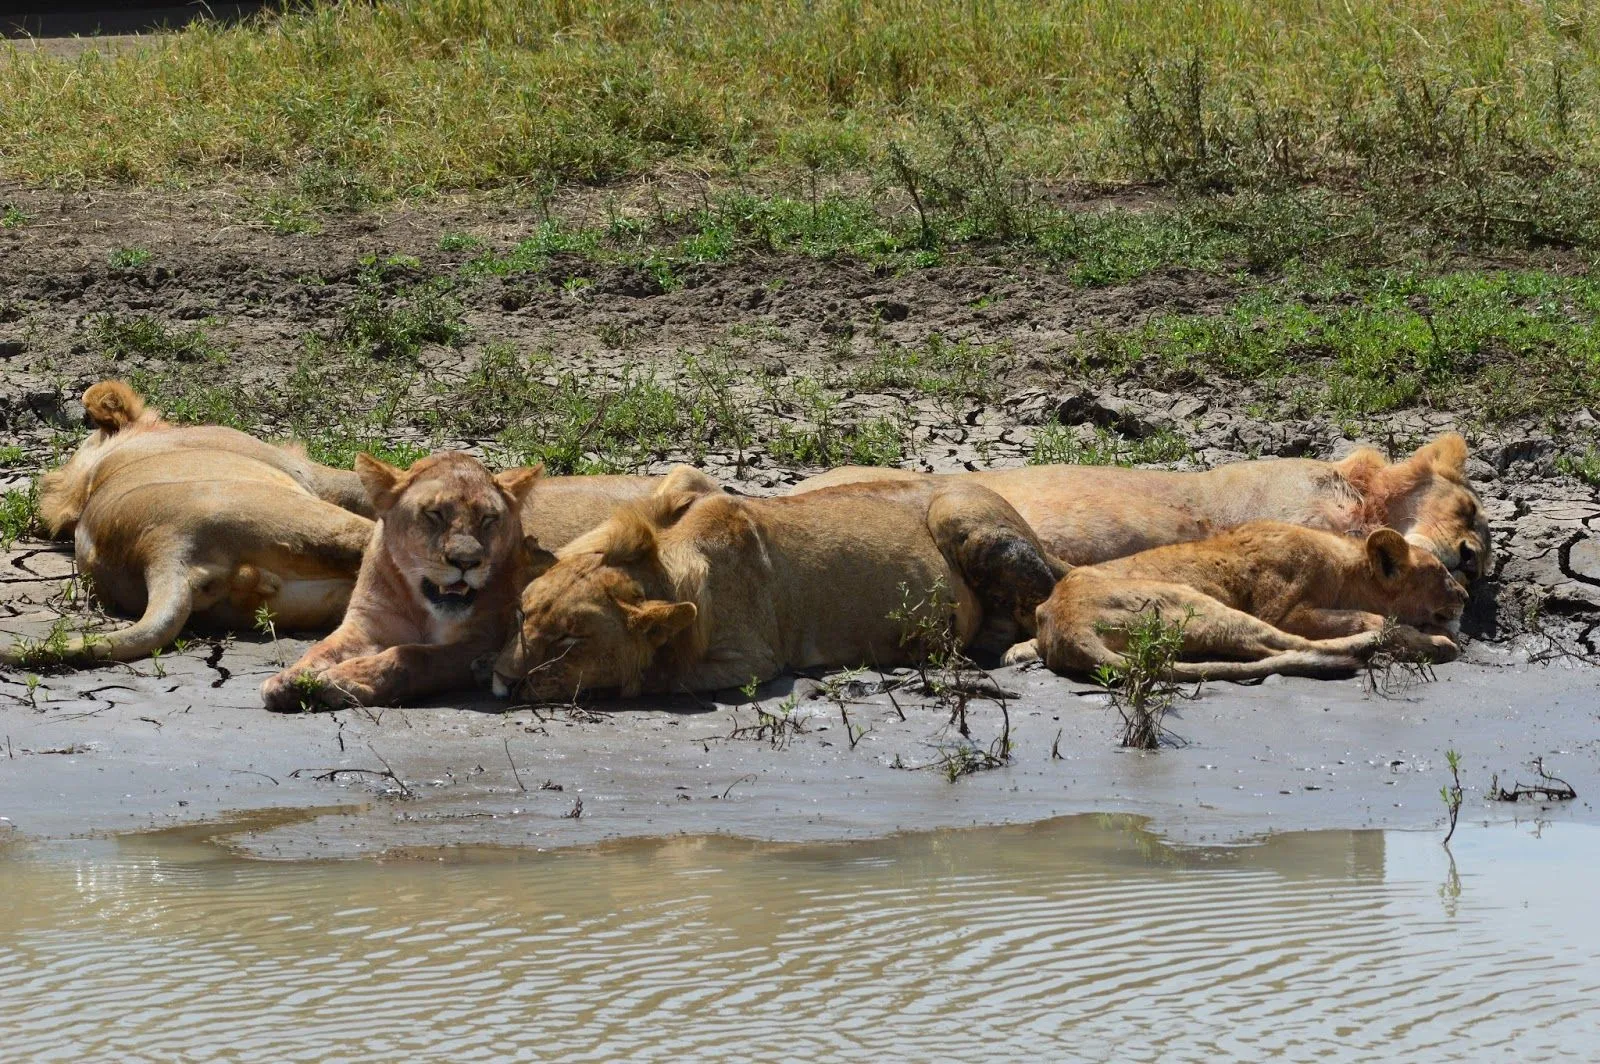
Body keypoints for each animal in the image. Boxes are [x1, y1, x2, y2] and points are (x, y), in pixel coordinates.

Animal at [259, 451, 659, 710]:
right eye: (434, 514)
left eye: (489, 519)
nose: (466, 562)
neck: (422, 607)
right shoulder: (367, 623)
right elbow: (322, 648)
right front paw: (289, 680)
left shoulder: (484, 637)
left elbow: (412, 656)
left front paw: (341, 680)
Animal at [486, 470, 1062, 700]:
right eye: (520, 615)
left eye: (571, 640)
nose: (500, 681)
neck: (658, 560)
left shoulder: (754, 661)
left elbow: (658, 676)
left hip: (963, 517)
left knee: (1047, 592)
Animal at [1004, 521, 1465, 681]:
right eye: (1442, 574)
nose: (1464, 595)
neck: (1345, 565)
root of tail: (1062, 623)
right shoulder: (1285, 609)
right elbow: (1367, 618)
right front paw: (1428, 636)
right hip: (1196, 604)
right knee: (1284, 647)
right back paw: (1430, 647)